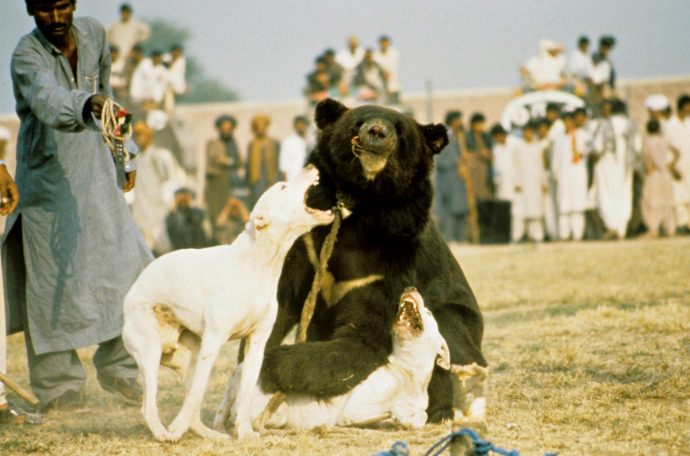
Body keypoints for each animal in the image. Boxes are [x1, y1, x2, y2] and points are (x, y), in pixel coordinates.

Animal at [259, 98, 487, 423]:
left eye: (400, 130)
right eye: (359, 121)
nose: (377, 131)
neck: (360, 202)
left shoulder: (387, 261)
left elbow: (364, 332)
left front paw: (275, 363)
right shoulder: (307, 244)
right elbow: (282, 304)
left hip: (459, 322)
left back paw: (440, 411)